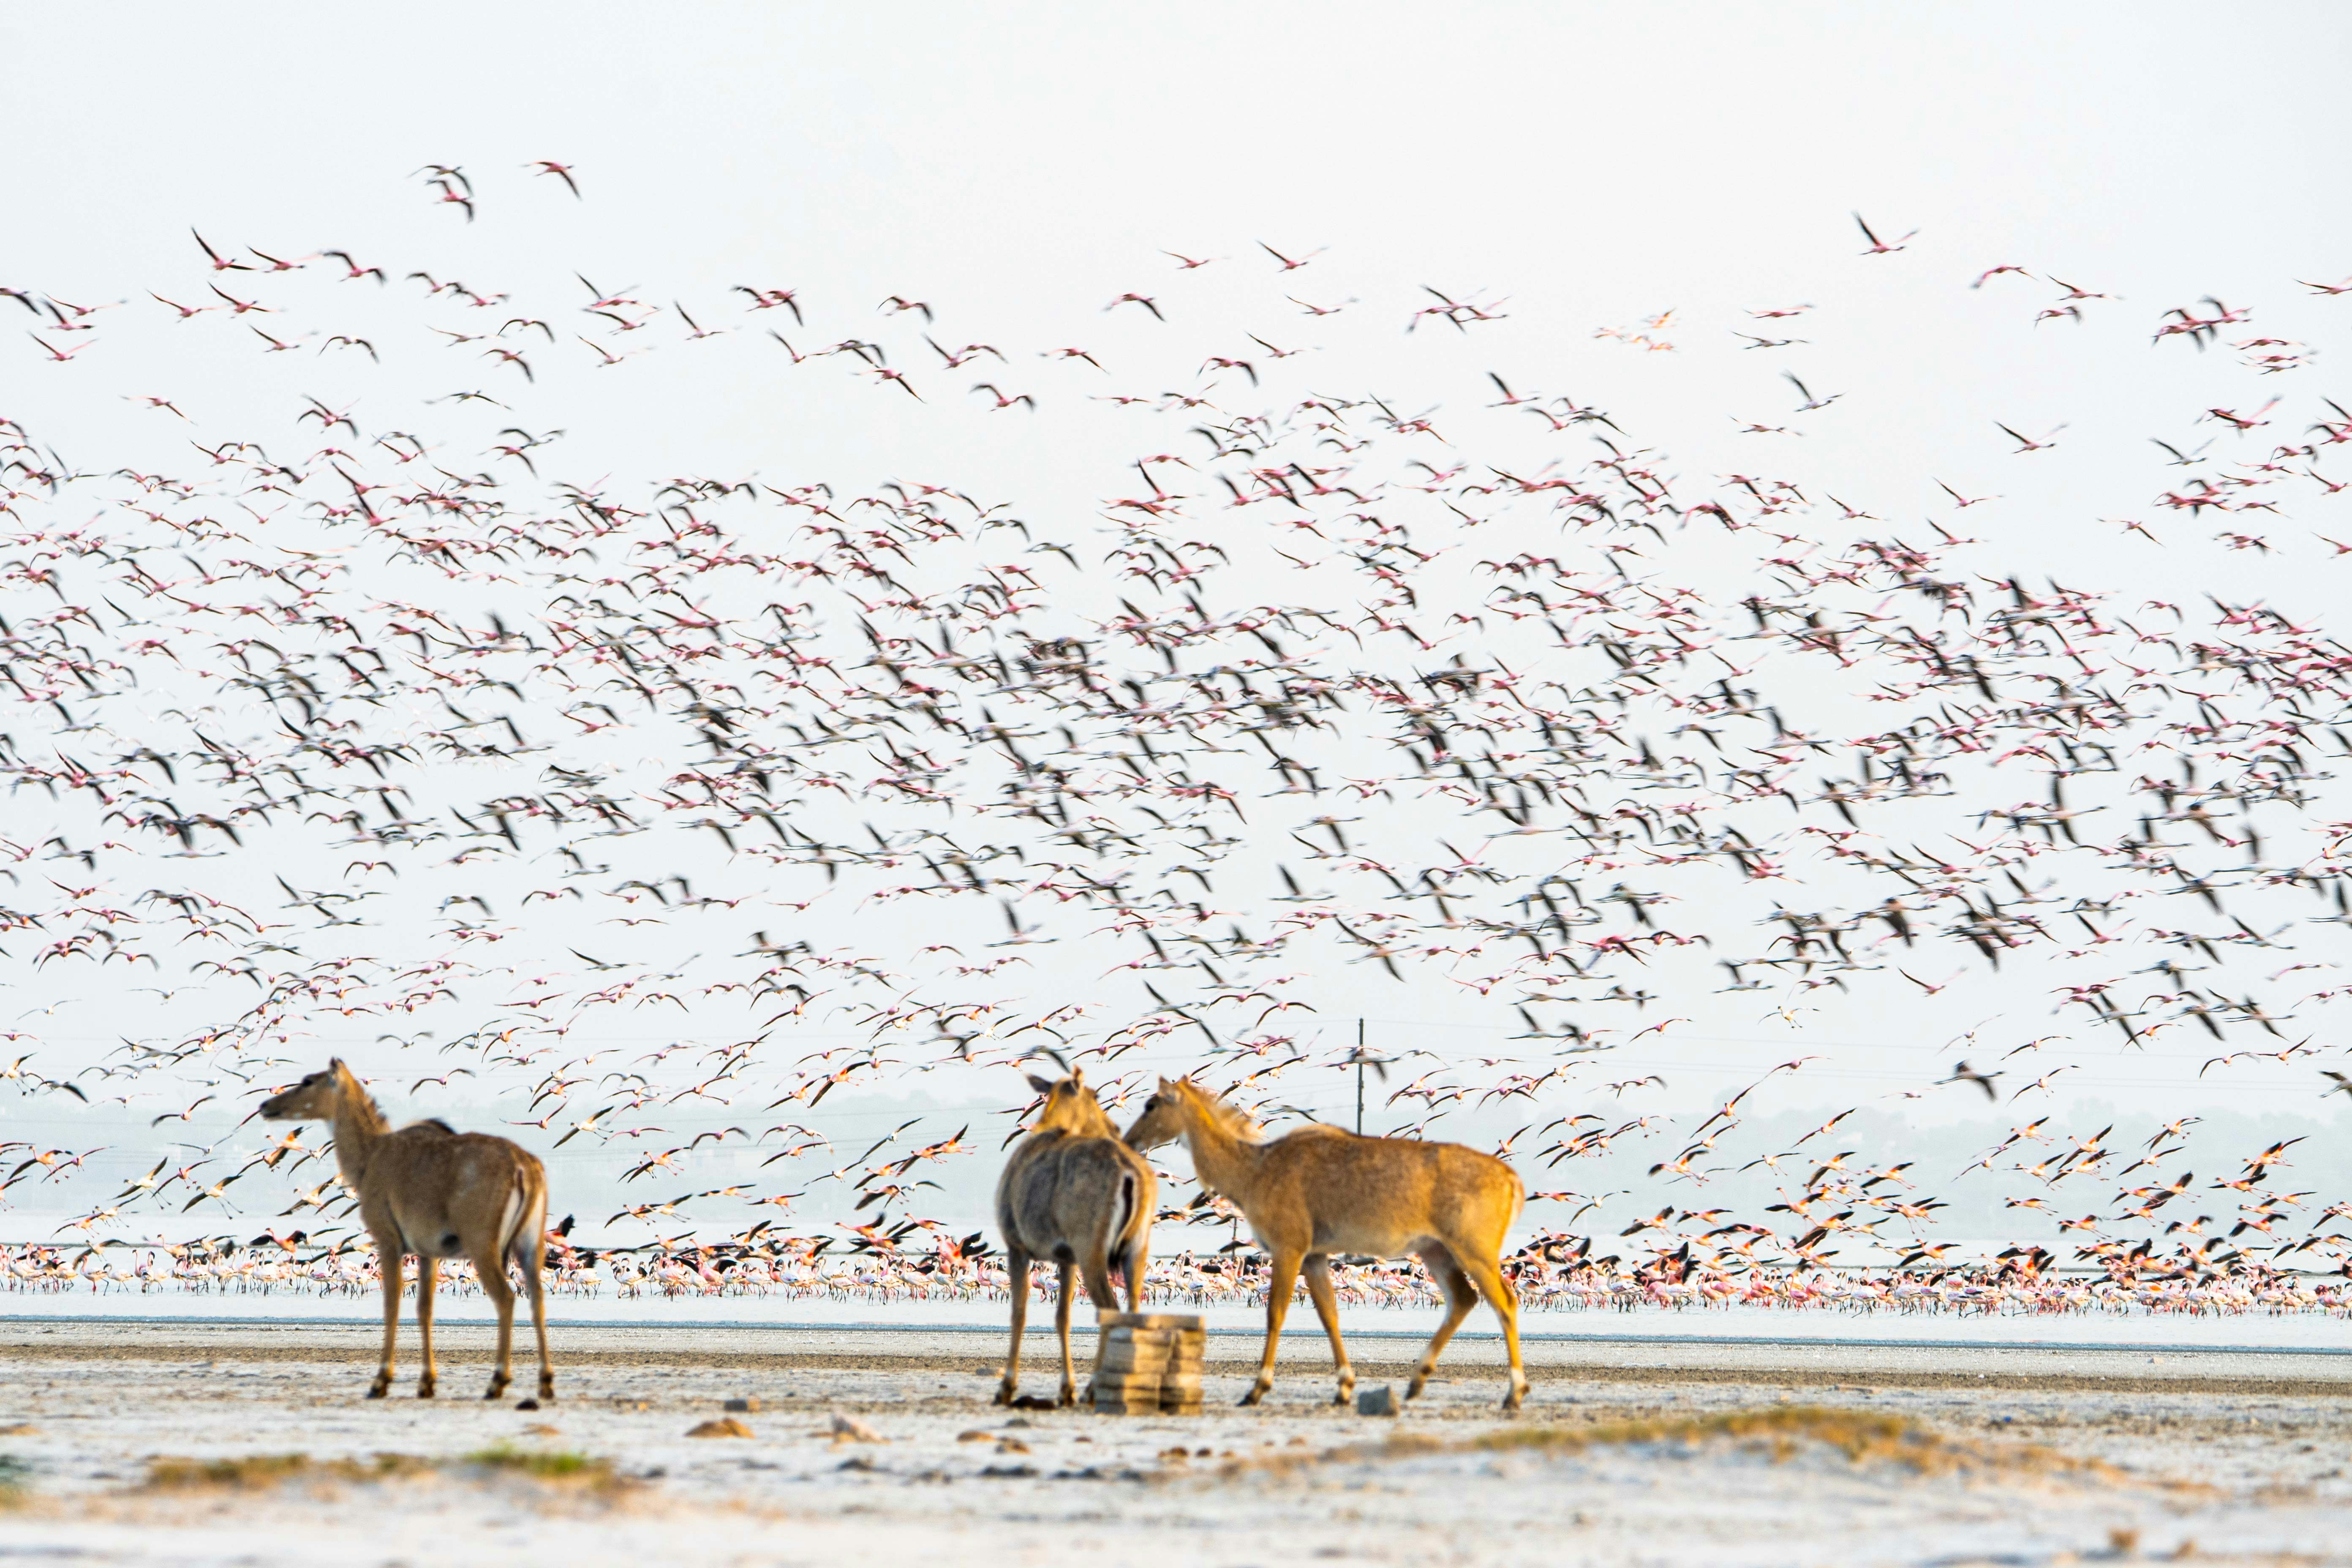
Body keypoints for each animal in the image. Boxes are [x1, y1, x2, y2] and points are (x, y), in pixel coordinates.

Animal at [258, 1060, 554, 1404]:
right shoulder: (428, 1253)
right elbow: (425, 1310)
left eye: (308, 1081)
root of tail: (524, 1166)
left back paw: (497, 1382)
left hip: (483, 1246)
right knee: (537, 1299)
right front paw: (426, 1383)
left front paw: (381, 1381)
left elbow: (392, 1307)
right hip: (529, 1246)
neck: (372, 1154)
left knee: (506, 1298)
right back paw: (545, 1382)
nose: (266, 1106)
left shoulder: (388, 1242)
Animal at [994, 1067, 1155, 1408]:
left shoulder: (1016, 1246)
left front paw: (1007, 1387)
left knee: (1110, 1311)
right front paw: (1065, 1388)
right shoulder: (1066, 1258)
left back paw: (1095, 1389)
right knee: (1133, 1310)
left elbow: (1019, 1314)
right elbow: (1063, 1318)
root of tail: (1129, 1172)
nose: (1115, 1128)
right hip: (1135, 1248)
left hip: (1091, 1250)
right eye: (1096, 1094)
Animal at [1125, 1076, 1527, 1410]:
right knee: (1464, 1298)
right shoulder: (1316, 1256)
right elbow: (1329, 1314)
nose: (1130, 1141)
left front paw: (1257, 1388)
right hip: (1435, 1249)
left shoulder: (1289, 1247)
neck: (1254, 1169)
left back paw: (1514, 1393)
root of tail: (1512, 1181)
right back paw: (1416, 1382)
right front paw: (1344, 1388)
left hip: (1474, 1250)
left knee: (1505, 1302)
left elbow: (1276, 1313)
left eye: (1152, 1104)